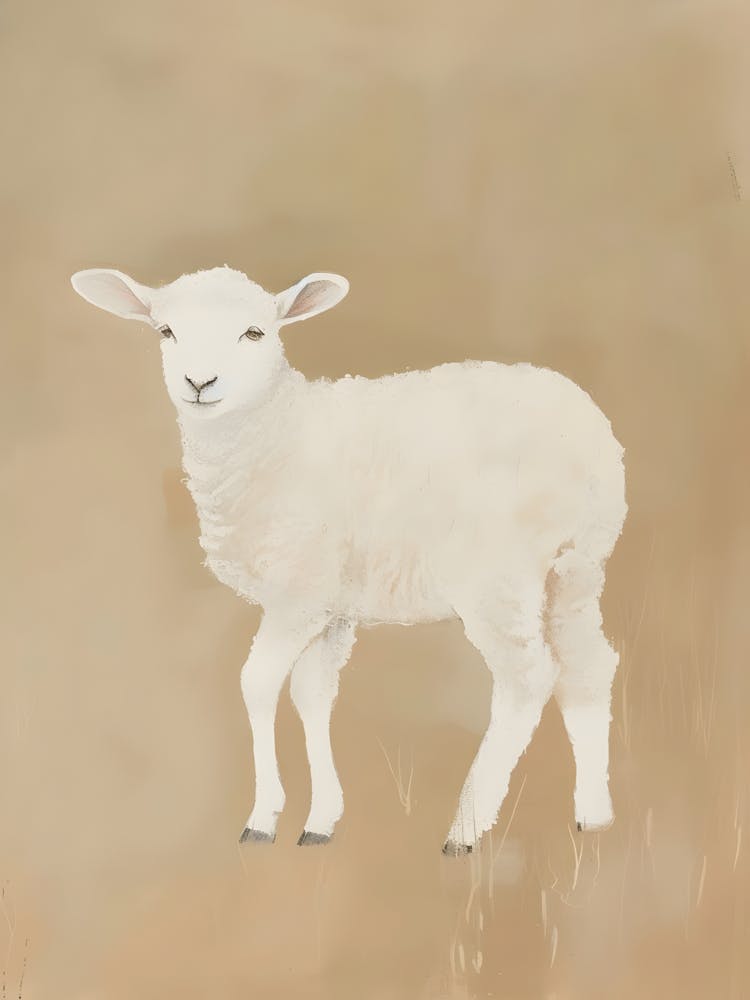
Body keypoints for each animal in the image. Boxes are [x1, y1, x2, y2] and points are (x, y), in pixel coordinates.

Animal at [70, 264, 627, 855]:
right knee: (588, 667)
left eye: (254, 333)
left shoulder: (297, 592)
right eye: (166, 331)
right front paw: (320, 820)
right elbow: (311, 695)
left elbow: (257, 683)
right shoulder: (330, 605)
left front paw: (263, 818)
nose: (199, 383)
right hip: (577, 567)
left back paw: (465, 829)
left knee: (529, 677)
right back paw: (594, 816)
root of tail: (588, 432)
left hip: (498, 575)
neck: (274, 434)